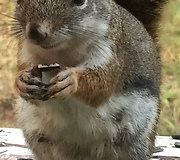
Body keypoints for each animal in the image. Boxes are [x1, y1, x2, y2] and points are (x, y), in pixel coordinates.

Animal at [13, 0, 165, 160]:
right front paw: (21, 81)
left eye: (80, 1)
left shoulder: (111, 53)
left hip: (137, 139)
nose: (35, 32)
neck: (62, 52)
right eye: (19, 1)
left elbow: (102, 87)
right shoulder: (26, 53)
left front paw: (72, 80)